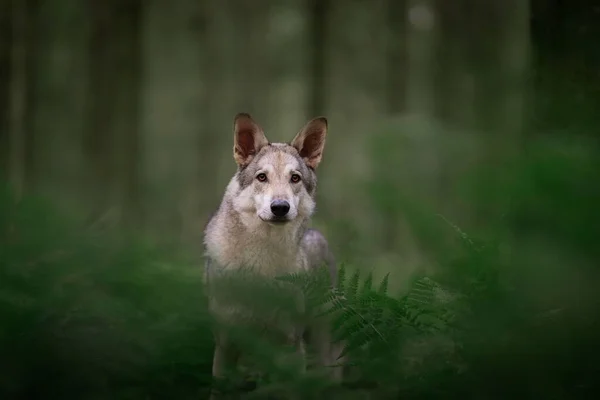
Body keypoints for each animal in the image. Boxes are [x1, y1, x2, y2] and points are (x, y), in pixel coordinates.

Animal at [203, 112, 340, 396]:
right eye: (262, 177)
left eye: (295, 178)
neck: (261, 264)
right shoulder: (225, 344)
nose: (280, 207)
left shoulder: (291, 344)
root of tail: (317, 236)